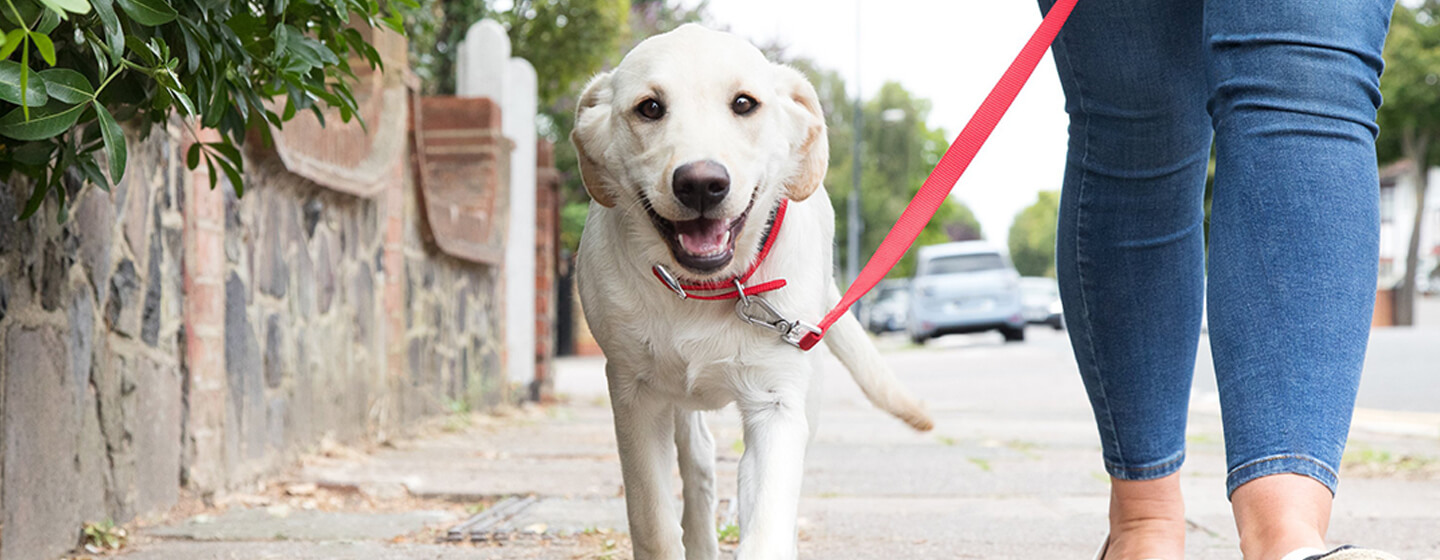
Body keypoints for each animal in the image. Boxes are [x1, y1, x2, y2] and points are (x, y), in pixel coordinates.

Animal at [570, 23, 933, 555]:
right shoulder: (632, 393)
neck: (708, 290)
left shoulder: (777, 402)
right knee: (699, 460)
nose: (701, 184)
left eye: (744, 104)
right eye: (649, 107)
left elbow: (766, 526)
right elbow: (652, 521)